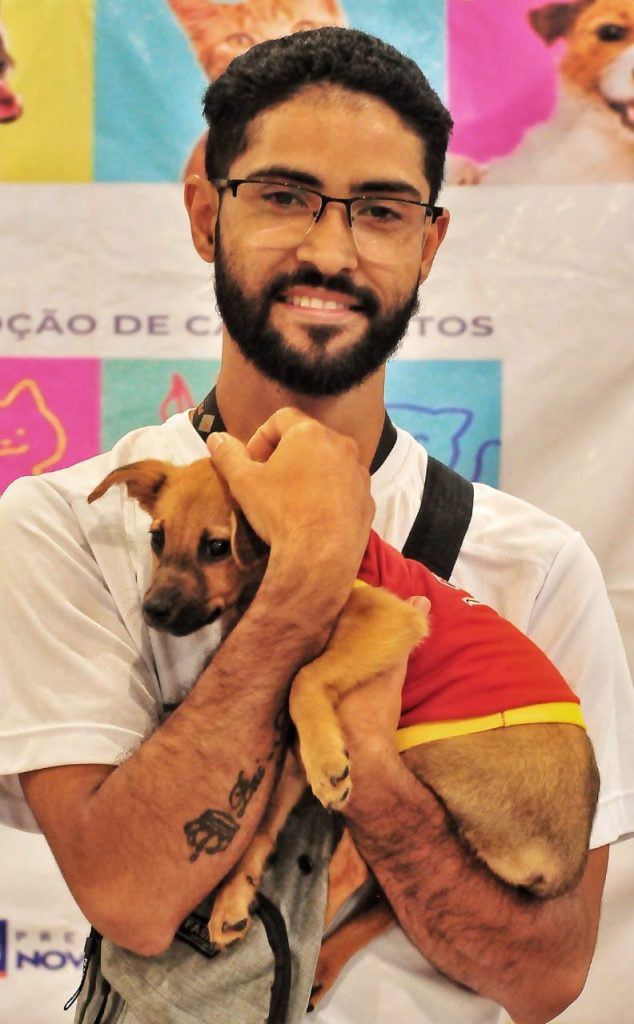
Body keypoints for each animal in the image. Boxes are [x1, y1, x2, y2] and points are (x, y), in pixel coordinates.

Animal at [88, 456, 599, 1007]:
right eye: (158, 538)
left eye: (218, 547)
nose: (153, 611)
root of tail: (568, 862)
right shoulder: (291, 753)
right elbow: (261, 825)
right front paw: (232, 900)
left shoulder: (391, 618)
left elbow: (307, 678)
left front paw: (329, 764)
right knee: (384, 897)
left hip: (428, 764)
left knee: (358, 874)